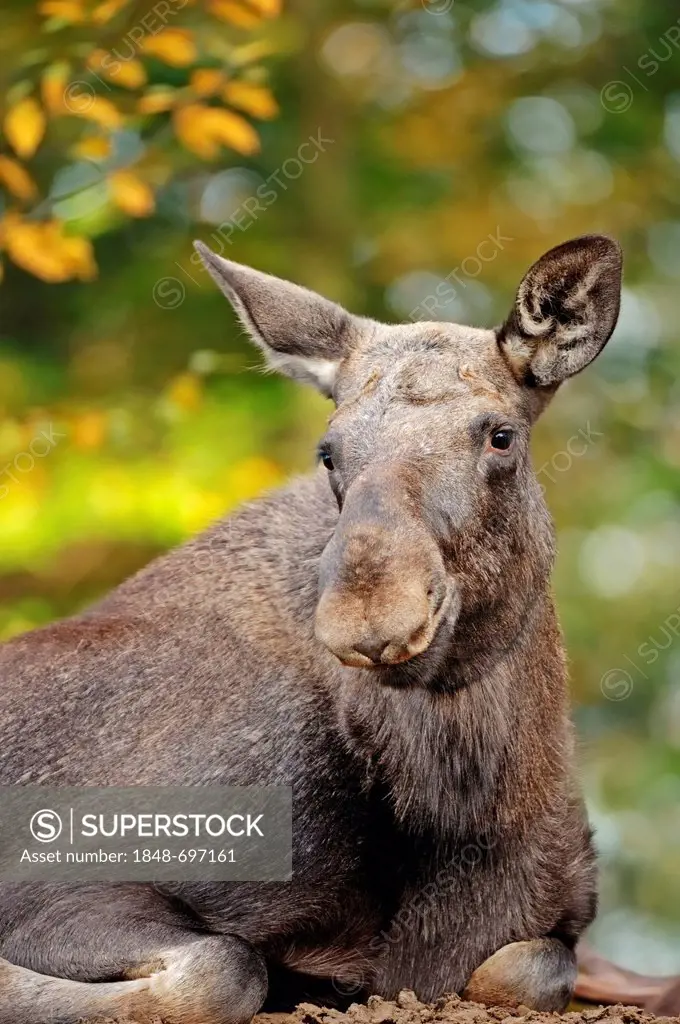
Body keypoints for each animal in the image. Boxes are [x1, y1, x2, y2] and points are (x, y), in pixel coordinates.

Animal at [0, 234, 626, 1024]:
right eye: (329, 451)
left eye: (501, 435)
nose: (372, 615)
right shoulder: (57, 882)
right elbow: (225, 967)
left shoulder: (554, 919)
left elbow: (529, 967)